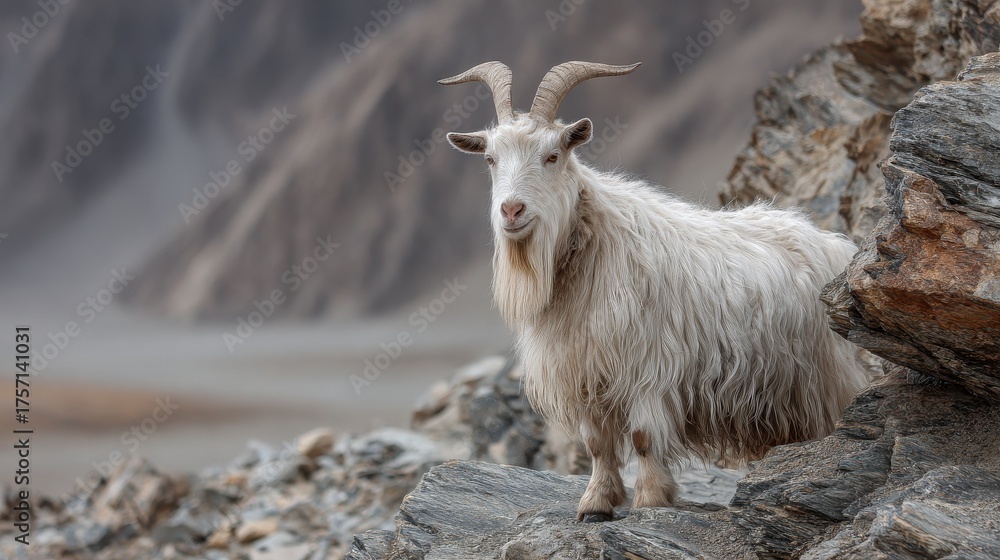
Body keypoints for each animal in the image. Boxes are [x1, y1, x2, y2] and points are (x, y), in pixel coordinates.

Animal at [439, 61, 870, 522]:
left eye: (552, 155)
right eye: (490, 159)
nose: (511, 211)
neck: (594, 248)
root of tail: (829, 241)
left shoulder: (649, 368)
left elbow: (644, 437)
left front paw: (649, 500)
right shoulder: (585, 372)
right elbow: (597, 444)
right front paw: (595, 503)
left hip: (821, 379)